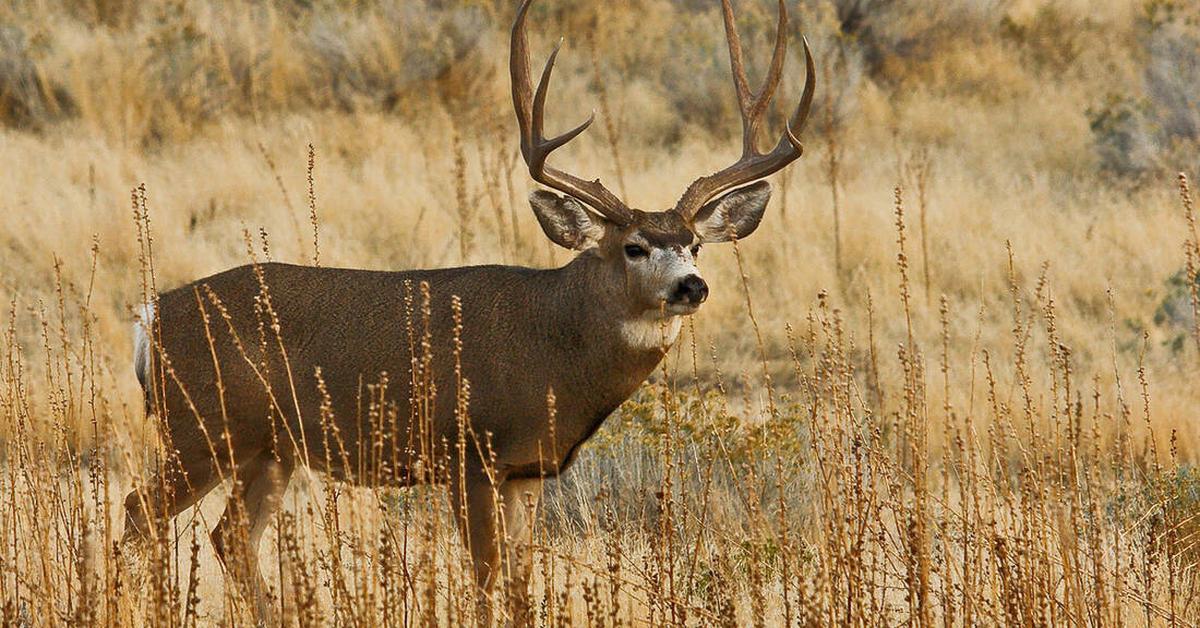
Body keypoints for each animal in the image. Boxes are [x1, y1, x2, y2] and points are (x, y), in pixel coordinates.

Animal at [121, 0, 816, 619]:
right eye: (634, 246)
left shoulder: (528, 472)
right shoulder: (470, 454)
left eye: (695, 243)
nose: (691, 287)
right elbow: (485, 586)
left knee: (229, 539)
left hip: (267, 448)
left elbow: (519, 590)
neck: (554, 348)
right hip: (201, 427)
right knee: (139, 512)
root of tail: (152, 317)